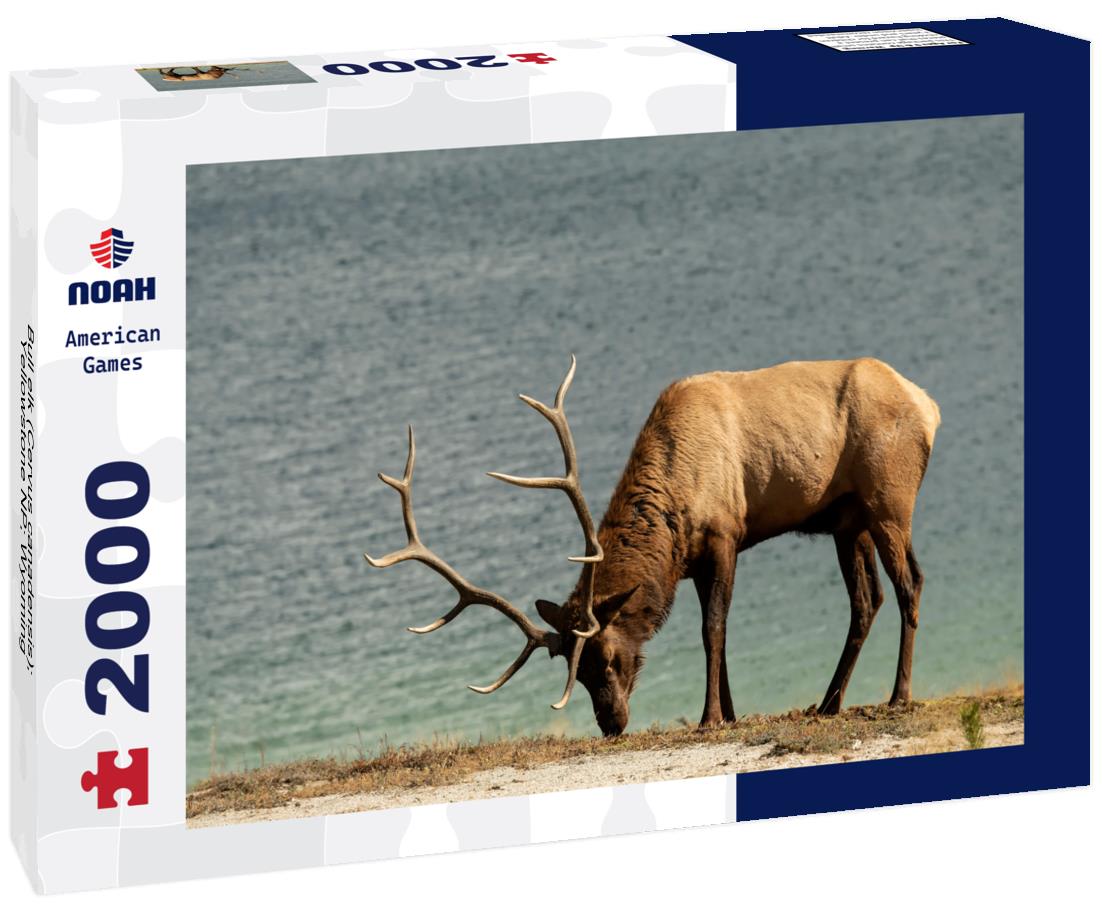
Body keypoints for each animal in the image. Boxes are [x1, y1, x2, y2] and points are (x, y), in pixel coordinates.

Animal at [364, 355, 940, 736]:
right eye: (577, 671)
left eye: (606, 659)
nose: (611, 724)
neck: (673, 517)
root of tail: (929, 406)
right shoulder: (698, 560)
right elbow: (719, 634)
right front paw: (731, 713)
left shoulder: (725, 535)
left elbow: (713, 630)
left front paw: (711, 717)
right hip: (848, 520)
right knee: (867, 600)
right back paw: (828, 704)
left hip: (889, 501)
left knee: (909, 583)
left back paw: (898, 695)